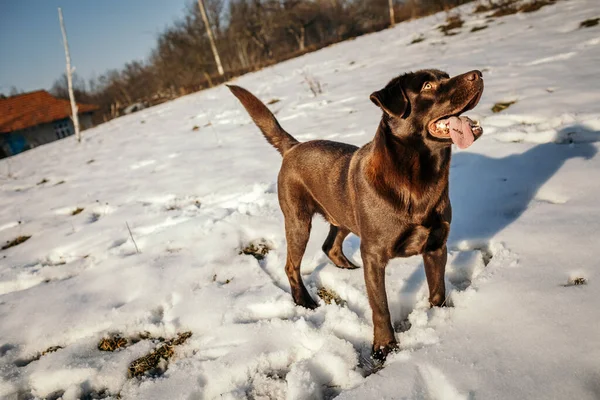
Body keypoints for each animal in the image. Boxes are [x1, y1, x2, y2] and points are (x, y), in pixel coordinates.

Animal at [227, 69, 486, 362]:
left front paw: (440, 319)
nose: (477, 74)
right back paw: (304, 301)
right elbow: (380, 306)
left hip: (343, 216)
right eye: (428, 86)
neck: (418, 181)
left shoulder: (436, 246)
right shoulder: (373, 254)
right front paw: (384, 347)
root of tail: (293, 147)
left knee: (329, 245)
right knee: (291, 265)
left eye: (446, 75)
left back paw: (348, 269)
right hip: (298, 221)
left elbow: (438, 289)